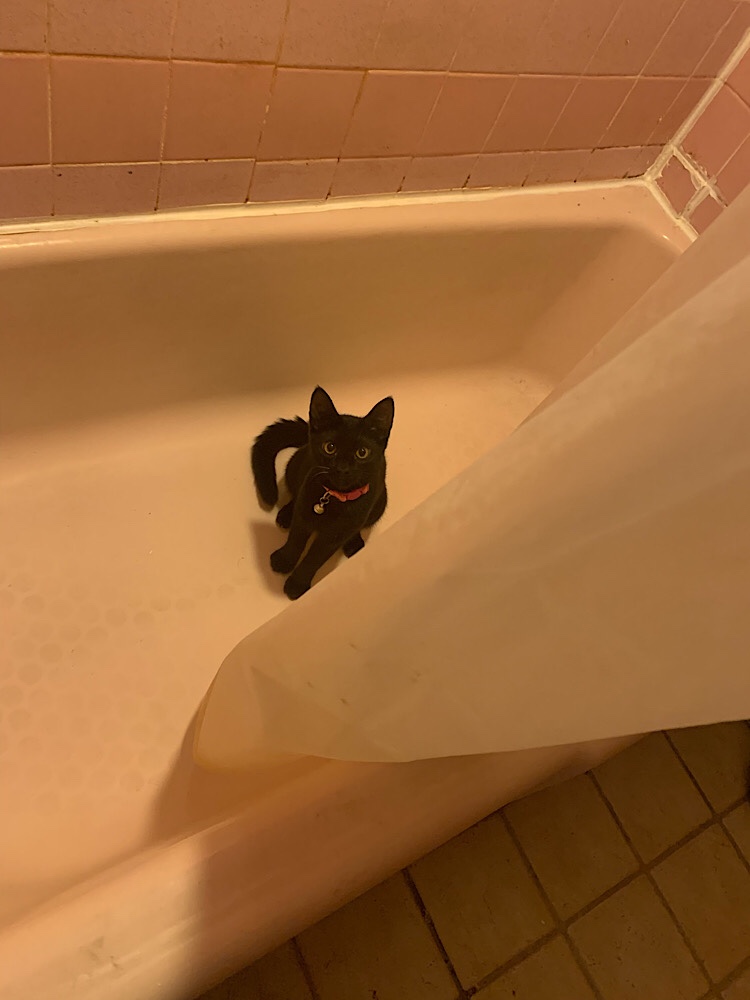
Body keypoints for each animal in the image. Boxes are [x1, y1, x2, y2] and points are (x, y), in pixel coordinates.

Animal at [251, 386, 395, 600]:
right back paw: (286, 515)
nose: (343, 468)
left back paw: (353, 543)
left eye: (362, 452)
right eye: (330, 447)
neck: (333, 499)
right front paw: (284, 561)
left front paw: (296, 585)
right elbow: (295, 540)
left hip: (379, 504)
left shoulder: (334, 536)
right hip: (295, 466)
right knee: (295, 494)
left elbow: (314, 558)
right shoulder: (304, 514)